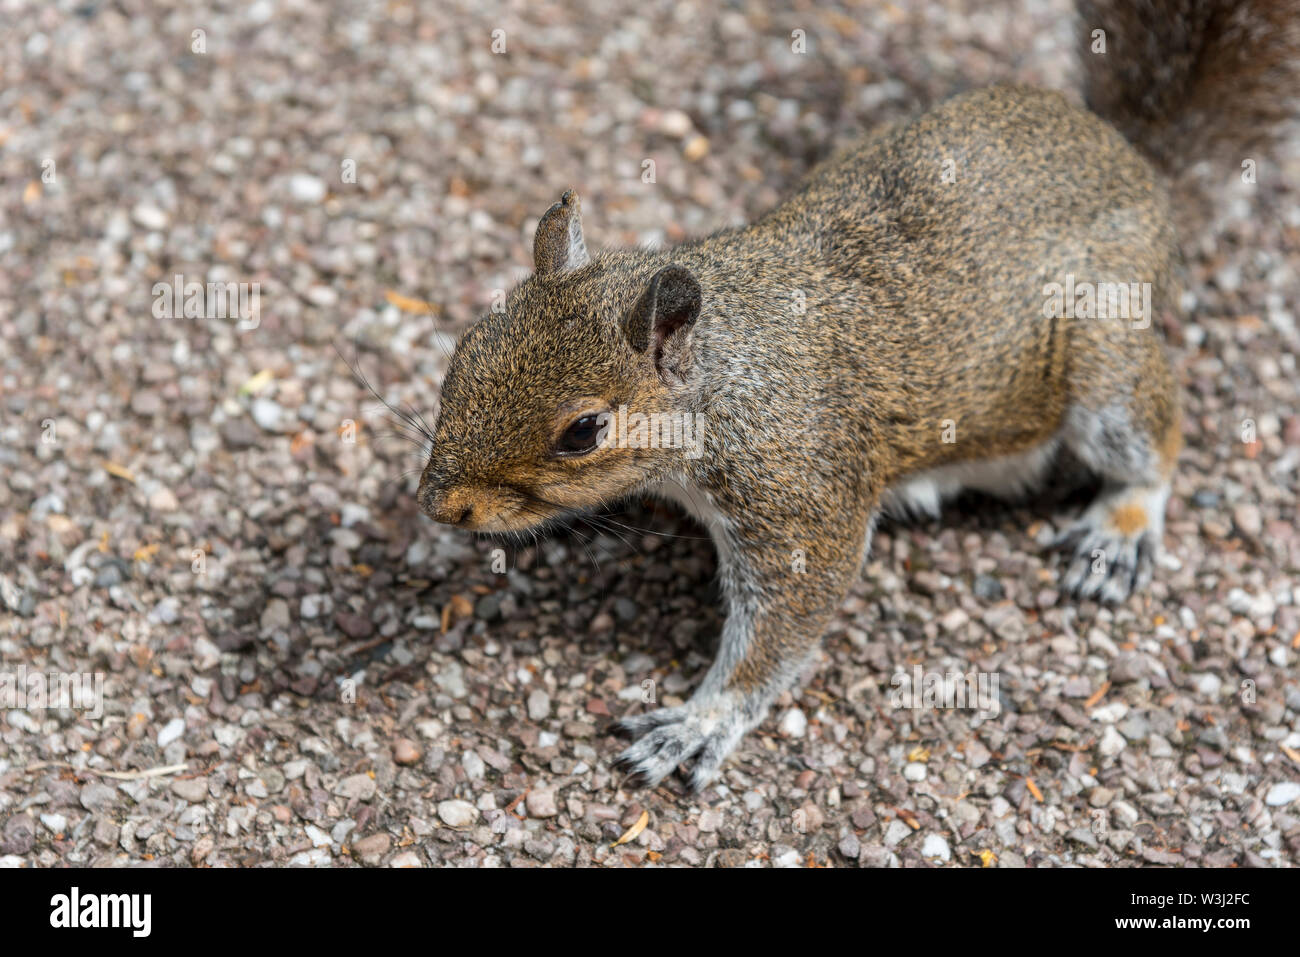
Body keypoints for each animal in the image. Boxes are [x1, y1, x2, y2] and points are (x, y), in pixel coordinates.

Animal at [417, 0, 1300, 791]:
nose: (440, 507)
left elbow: (783, 624)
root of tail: (1136, 167)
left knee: (1155, 438)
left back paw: (1120, 528)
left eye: (584, 430)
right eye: (466, 346)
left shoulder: (801, 502)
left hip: (1103, 360)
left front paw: (699, 721)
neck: (727, 379)